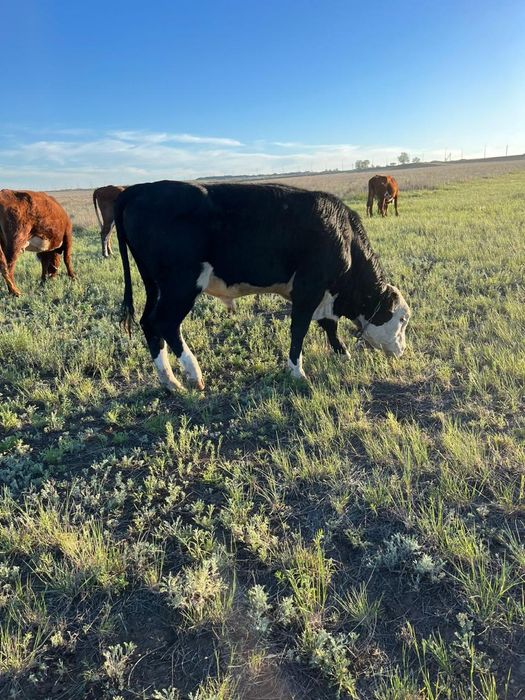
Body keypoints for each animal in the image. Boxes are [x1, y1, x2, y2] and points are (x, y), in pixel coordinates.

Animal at [115, 180, 410, 392]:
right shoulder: (308, 289)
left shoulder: (324, 295)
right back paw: (193, 374)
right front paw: (297, 372)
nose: (403, 351)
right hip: (181, 285)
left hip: (154, 286)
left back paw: (169, 382)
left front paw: (342, 353)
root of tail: (139, 188)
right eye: (402, 319)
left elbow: (329, 325)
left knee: (149, 324)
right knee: (164, 323)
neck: (343, 234)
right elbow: (299, 329)